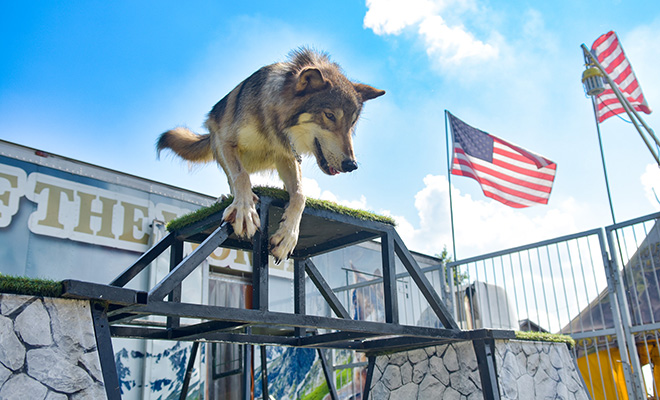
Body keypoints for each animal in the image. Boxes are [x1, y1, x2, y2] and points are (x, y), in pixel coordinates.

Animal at [157, 48, 385, 262]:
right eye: (329, 115)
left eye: (352, 123)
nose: (351, 165)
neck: (272, 122)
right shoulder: (226, 141)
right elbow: (241, 176)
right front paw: (244, 210)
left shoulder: (287, 157)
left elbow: (300, 195)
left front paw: (288, 237)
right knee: (234, 178)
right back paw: (228, 198)